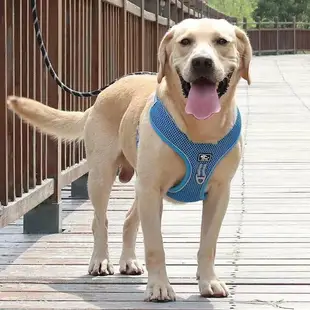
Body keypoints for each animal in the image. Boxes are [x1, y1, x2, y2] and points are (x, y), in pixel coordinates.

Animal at [7, 17, 252, 302]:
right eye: (185, 42)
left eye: (222, 41)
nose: (202, 62)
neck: (200, 129)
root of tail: (101, 95)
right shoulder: (151, 188)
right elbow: (155, 245)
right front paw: (159, 287)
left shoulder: (218, 192)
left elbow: (208, 243)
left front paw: (209, 281)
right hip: (102, 177)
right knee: (100, 221)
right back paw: (100, 261)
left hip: (140, 188)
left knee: (128, 219)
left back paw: (129, 261)